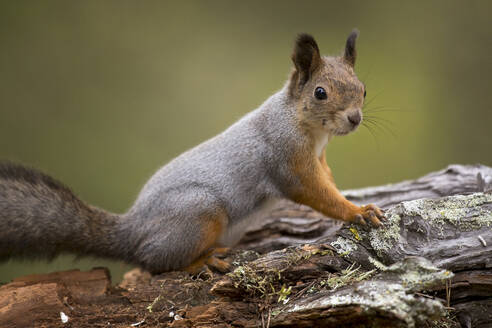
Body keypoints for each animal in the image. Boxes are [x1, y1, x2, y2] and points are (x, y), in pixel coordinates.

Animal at [0, 30, 384, 274]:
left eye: (363, 89)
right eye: (320, 93)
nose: (354, 118)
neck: (308, 127)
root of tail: (131, 232)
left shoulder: (318, 159)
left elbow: (328, 181)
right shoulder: (287, 160)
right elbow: (315, 193)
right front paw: (357, 211)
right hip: (200, 211)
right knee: (154, 263)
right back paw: (202, 261)